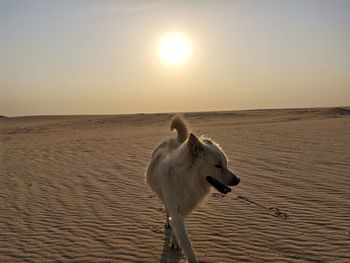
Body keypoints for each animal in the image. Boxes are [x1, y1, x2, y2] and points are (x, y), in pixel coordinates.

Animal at [146, 115, 241, 263]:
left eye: (226, 164)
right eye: (218, 166)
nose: (238, 180)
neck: (186, 178)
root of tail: (177, 140)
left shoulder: (183, 209)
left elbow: (180, 232)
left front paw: (175, 241)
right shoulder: (176, 209)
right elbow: (188, 246)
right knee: (167, 211)